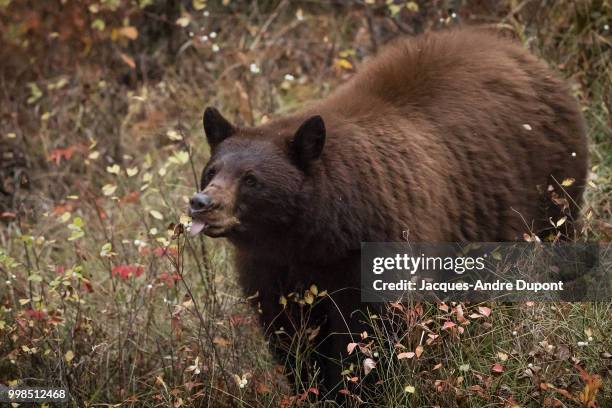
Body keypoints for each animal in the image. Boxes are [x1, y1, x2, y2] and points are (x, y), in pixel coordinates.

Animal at [188, 27, 588, 392]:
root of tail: (526, 55)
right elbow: (291, 336)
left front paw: (366, 389)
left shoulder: (378, 247)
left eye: (251, 179)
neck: (313, 234)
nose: (201, 203)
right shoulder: (272, 270)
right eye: (211, 171)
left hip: (552, 190)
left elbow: (372, 334)